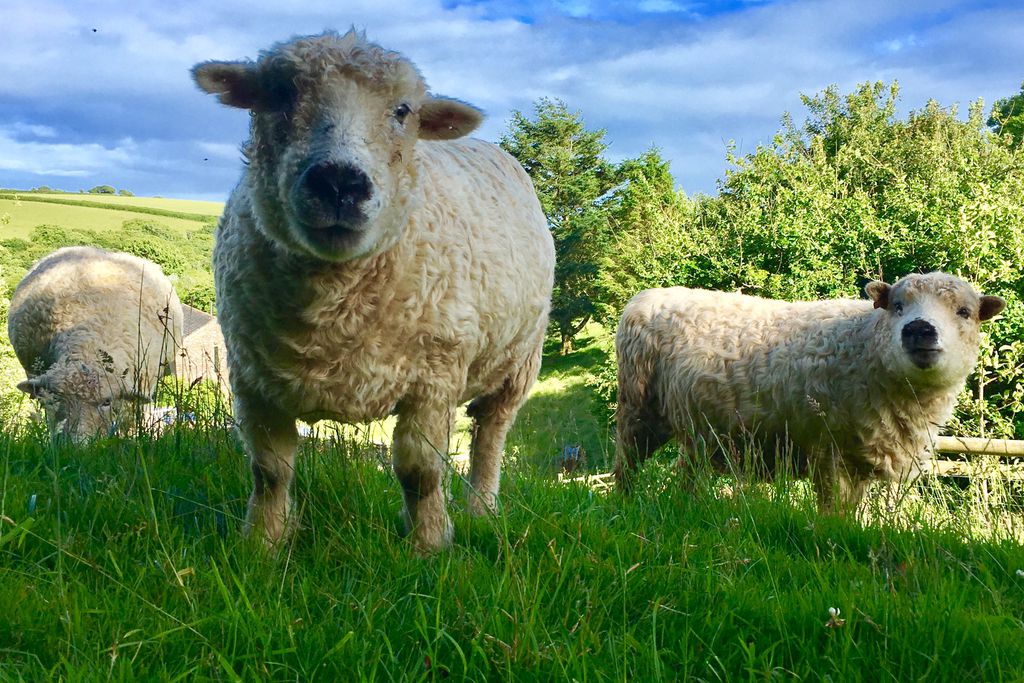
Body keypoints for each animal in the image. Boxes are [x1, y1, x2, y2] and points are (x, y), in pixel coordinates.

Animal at [194, 33, 557, 557]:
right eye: (279, 93)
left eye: (403, 110)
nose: (339, 182)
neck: (331, 310)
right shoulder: (251, 377)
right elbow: (269, 470)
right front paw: (263, 542)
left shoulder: (434, 377)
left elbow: (420, 472)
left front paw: (429, 545)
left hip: (518, 362)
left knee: (490, 436)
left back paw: (481, 510)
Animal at [610, 274, 1003, 511]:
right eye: (897, 306)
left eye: (964, 312)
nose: (919, 329)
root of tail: (646, 296)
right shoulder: (828, 452)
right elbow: (834, 511)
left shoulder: (857, 458)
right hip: (638, 406)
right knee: (626, 463)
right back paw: (624, 505)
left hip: (699, 429)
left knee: (688, 472)